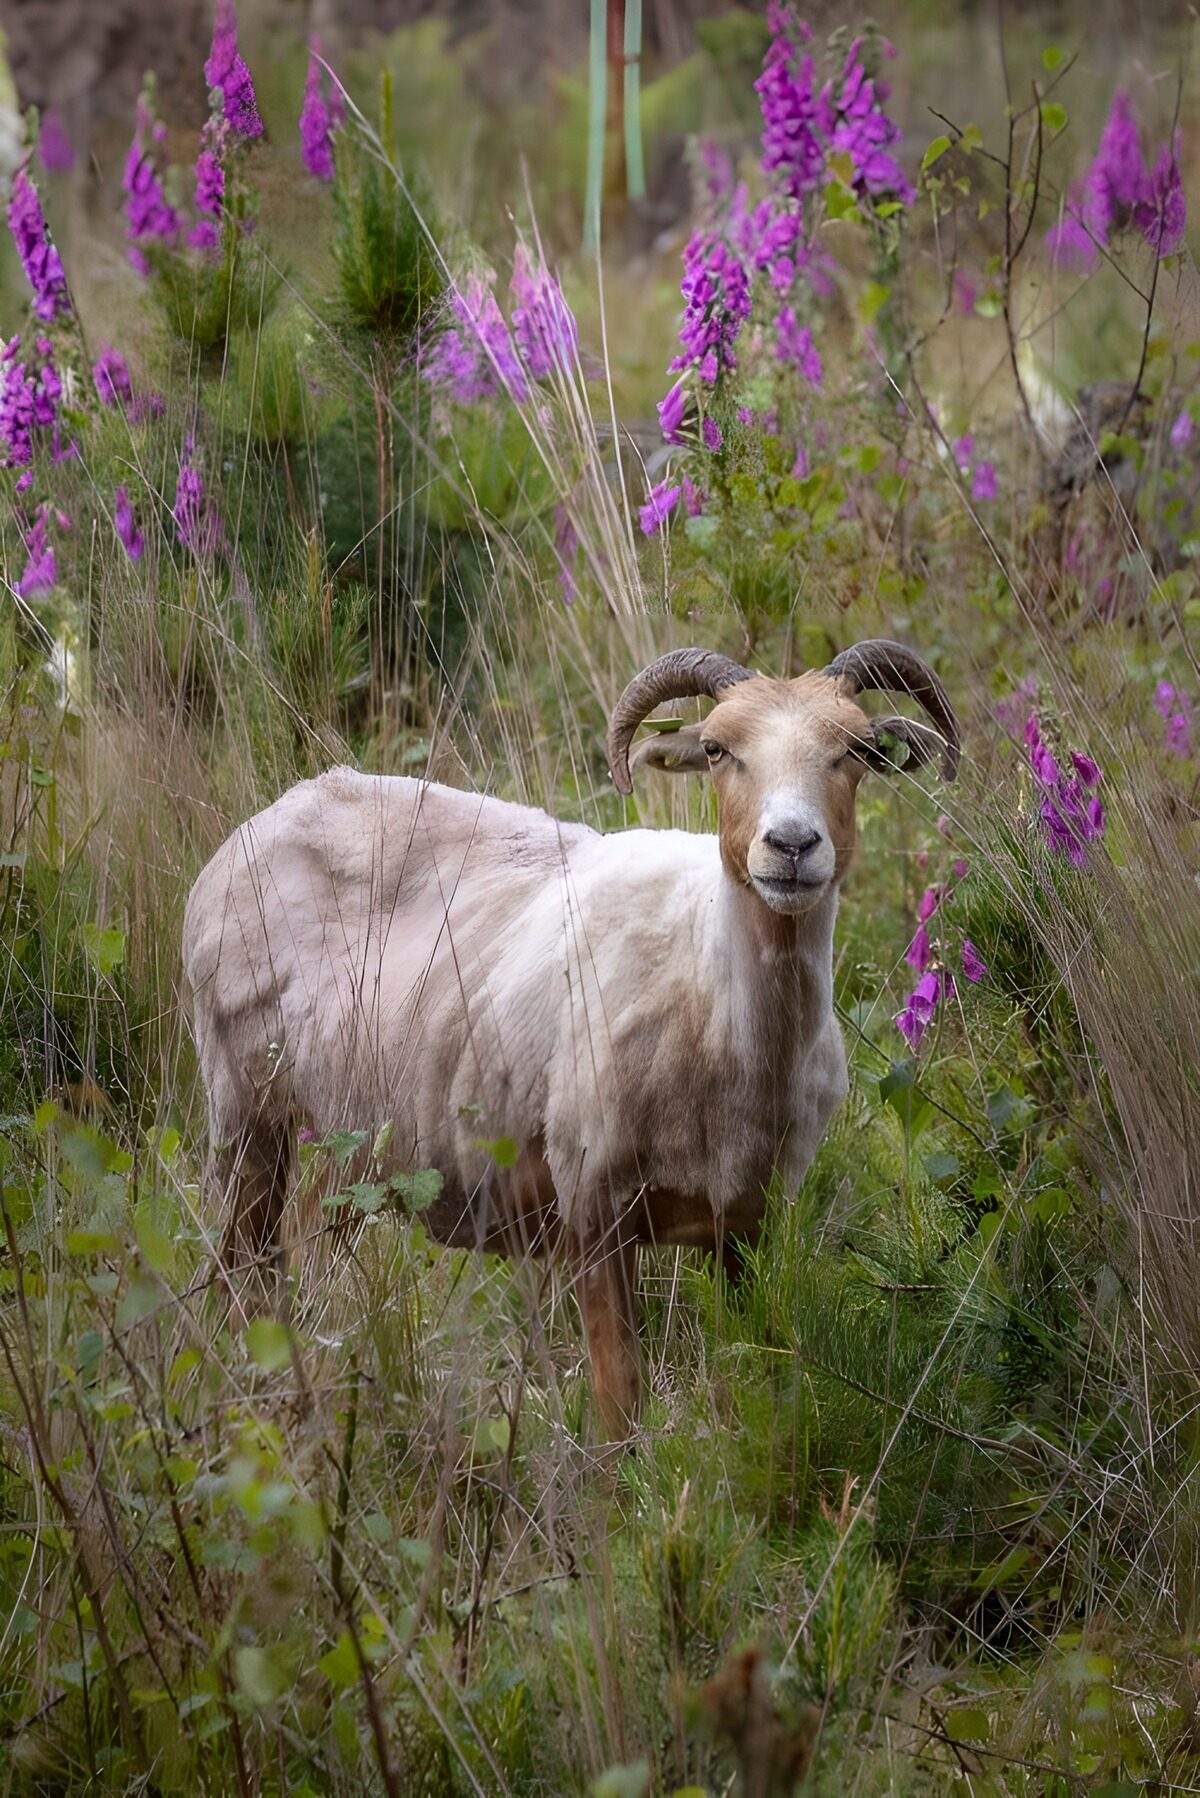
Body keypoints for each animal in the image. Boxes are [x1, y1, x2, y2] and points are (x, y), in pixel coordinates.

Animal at [183, 640, 959, 1438]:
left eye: (857, 750)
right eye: (717, 749)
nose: (793, 845)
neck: (716, 1002)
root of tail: (271, 816)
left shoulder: (750, 1222)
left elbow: (755, 1365)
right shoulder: (591, 1206)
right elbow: (620, 1404)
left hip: (349, 1142)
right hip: (243, 1110)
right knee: (241, 1272)